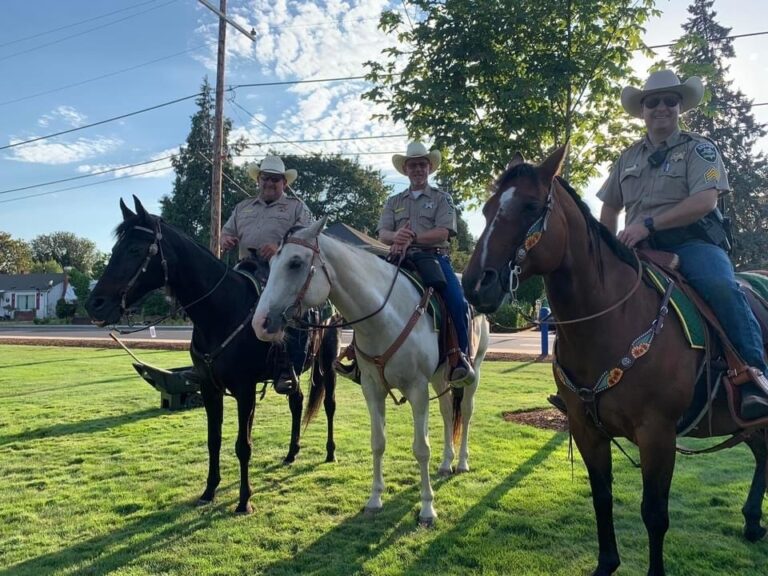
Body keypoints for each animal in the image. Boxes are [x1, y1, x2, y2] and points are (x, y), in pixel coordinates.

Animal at [85, 197, 338, 512]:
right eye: (114, 250)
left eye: (134, 250)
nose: (94, 305)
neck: (221, 312)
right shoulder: (209, 388)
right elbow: (213, 440)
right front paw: (209, 490)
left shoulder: (245, 390)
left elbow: (243, 445)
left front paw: (244, 500)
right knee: (297, 401)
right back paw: (292, 452)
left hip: (328, 363)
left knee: (329, 404)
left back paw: (330, 452)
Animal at [255, 218, 488, 524]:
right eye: (272, 263)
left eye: (295, 263)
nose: (260, 323)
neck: (386, 315)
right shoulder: (372, 389)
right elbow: (378, 442)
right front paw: (375, 499)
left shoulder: (417, 389)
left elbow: (421, 448)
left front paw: (427, 508)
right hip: (440, 377)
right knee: (449, 412)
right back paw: (446, 462)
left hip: (474, 370)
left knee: (468, 412)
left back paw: (461, 462)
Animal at [462, 146, 768, 576]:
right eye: (488, 209)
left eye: (530, 206)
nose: (475, 284)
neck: (611, 320)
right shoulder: (586, 428)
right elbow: (601, 497)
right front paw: (606, 563)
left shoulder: (657, 434)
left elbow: (654, 514)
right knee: (762, 453)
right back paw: (753, 520)